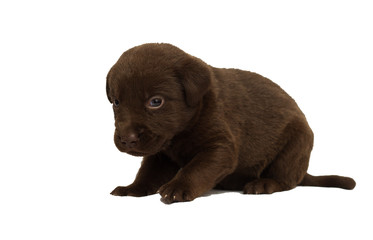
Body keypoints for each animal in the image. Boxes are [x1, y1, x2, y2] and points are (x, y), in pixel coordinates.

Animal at [105, 42, 354, 202]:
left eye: (156, 101)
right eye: (116, 102)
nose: (127, 139)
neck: (178, 136)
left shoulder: (220, 148)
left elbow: (196, 168)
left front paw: (178, 187)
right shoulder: (160, 154)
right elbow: (147, 174)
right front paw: (132, 189)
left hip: (295, 144)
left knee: (286, 180)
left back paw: (263, 184)